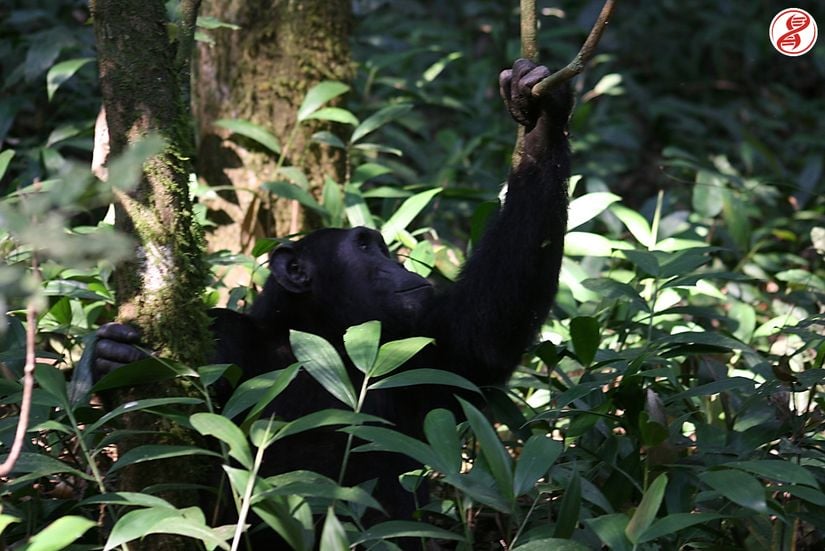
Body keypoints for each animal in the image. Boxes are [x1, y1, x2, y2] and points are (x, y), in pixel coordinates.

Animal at [95, 58, 572, 528]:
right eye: (364, 246)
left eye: (379, 247)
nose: (396, 261)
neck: (320, 334)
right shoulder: (221, 335)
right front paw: (111, 357)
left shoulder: (426, 356)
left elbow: (485, 334)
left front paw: (539, 112)